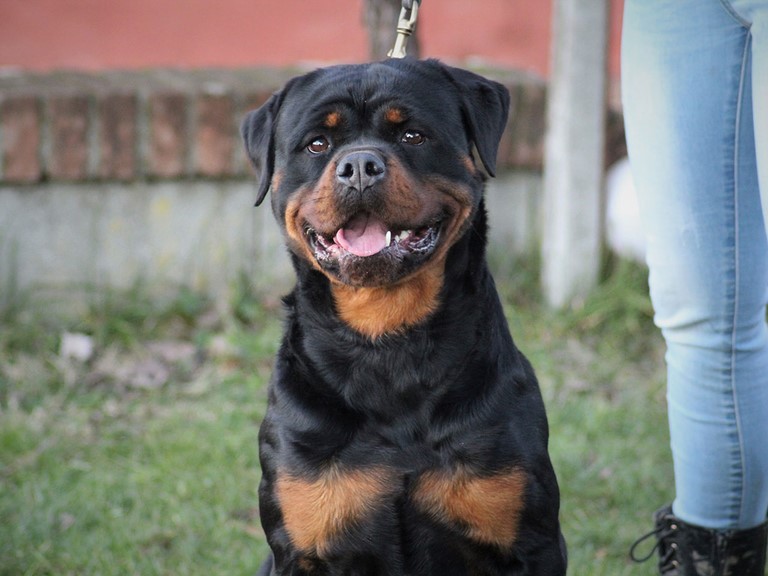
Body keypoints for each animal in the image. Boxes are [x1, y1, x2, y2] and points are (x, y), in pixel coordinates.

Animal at [243, 58, 568, 576]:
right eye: (317, 144)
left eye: (413, 135)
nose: (359, 165)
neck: (388, 338)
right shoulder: (300, 548)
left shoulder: (531, 542)